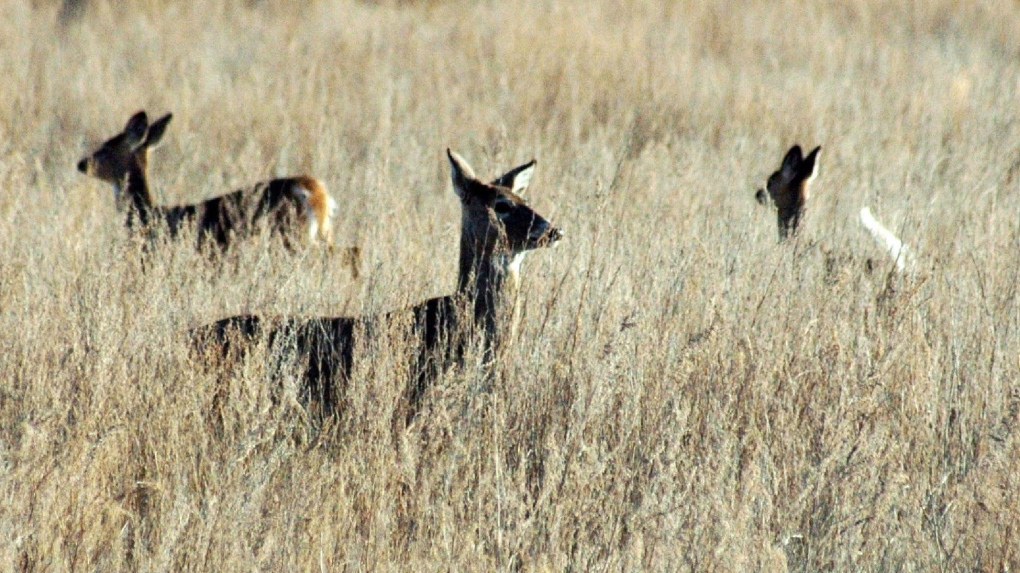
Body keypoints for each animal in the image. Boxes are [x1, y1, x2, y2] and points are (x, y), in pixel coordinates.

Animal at [76, 109, 363, 275]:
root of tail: (316, 190)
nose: (81, 163)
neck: (149, 215)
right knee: (353, 251)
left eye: (106, 146)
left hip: (294, 236)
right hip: (321, 233)